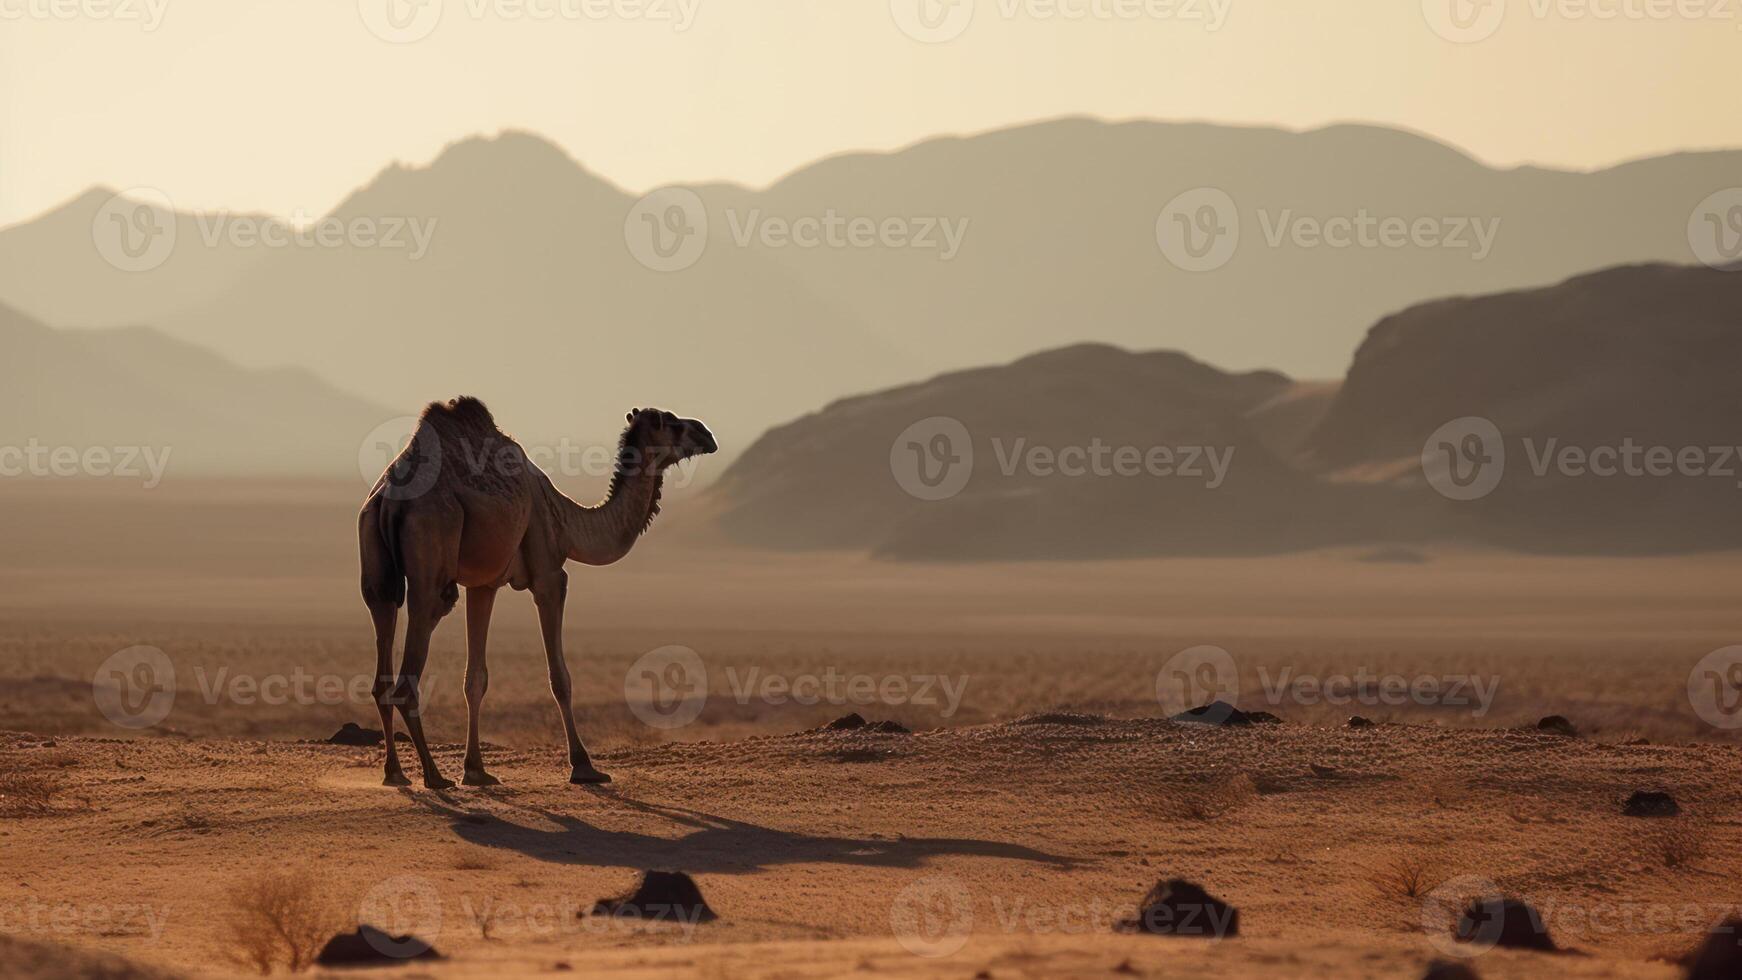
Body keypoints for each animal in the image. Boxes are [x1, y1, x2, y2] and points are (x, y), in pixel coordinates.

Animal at [360, 398, 714, 790]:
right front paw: (584, 766)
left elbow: (475, 678)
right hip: (431, 565)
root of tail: (390, 497)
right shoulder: (548, 576)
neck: (567, 521)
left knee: (381, 660)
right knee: (410, 668)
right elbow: (560, 678)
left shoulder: (484, 584)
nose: (707, 433)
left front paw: (476, 770)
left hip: (376, 571)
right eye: (672, 423)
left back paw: (395, 773)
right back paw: (434, 776)